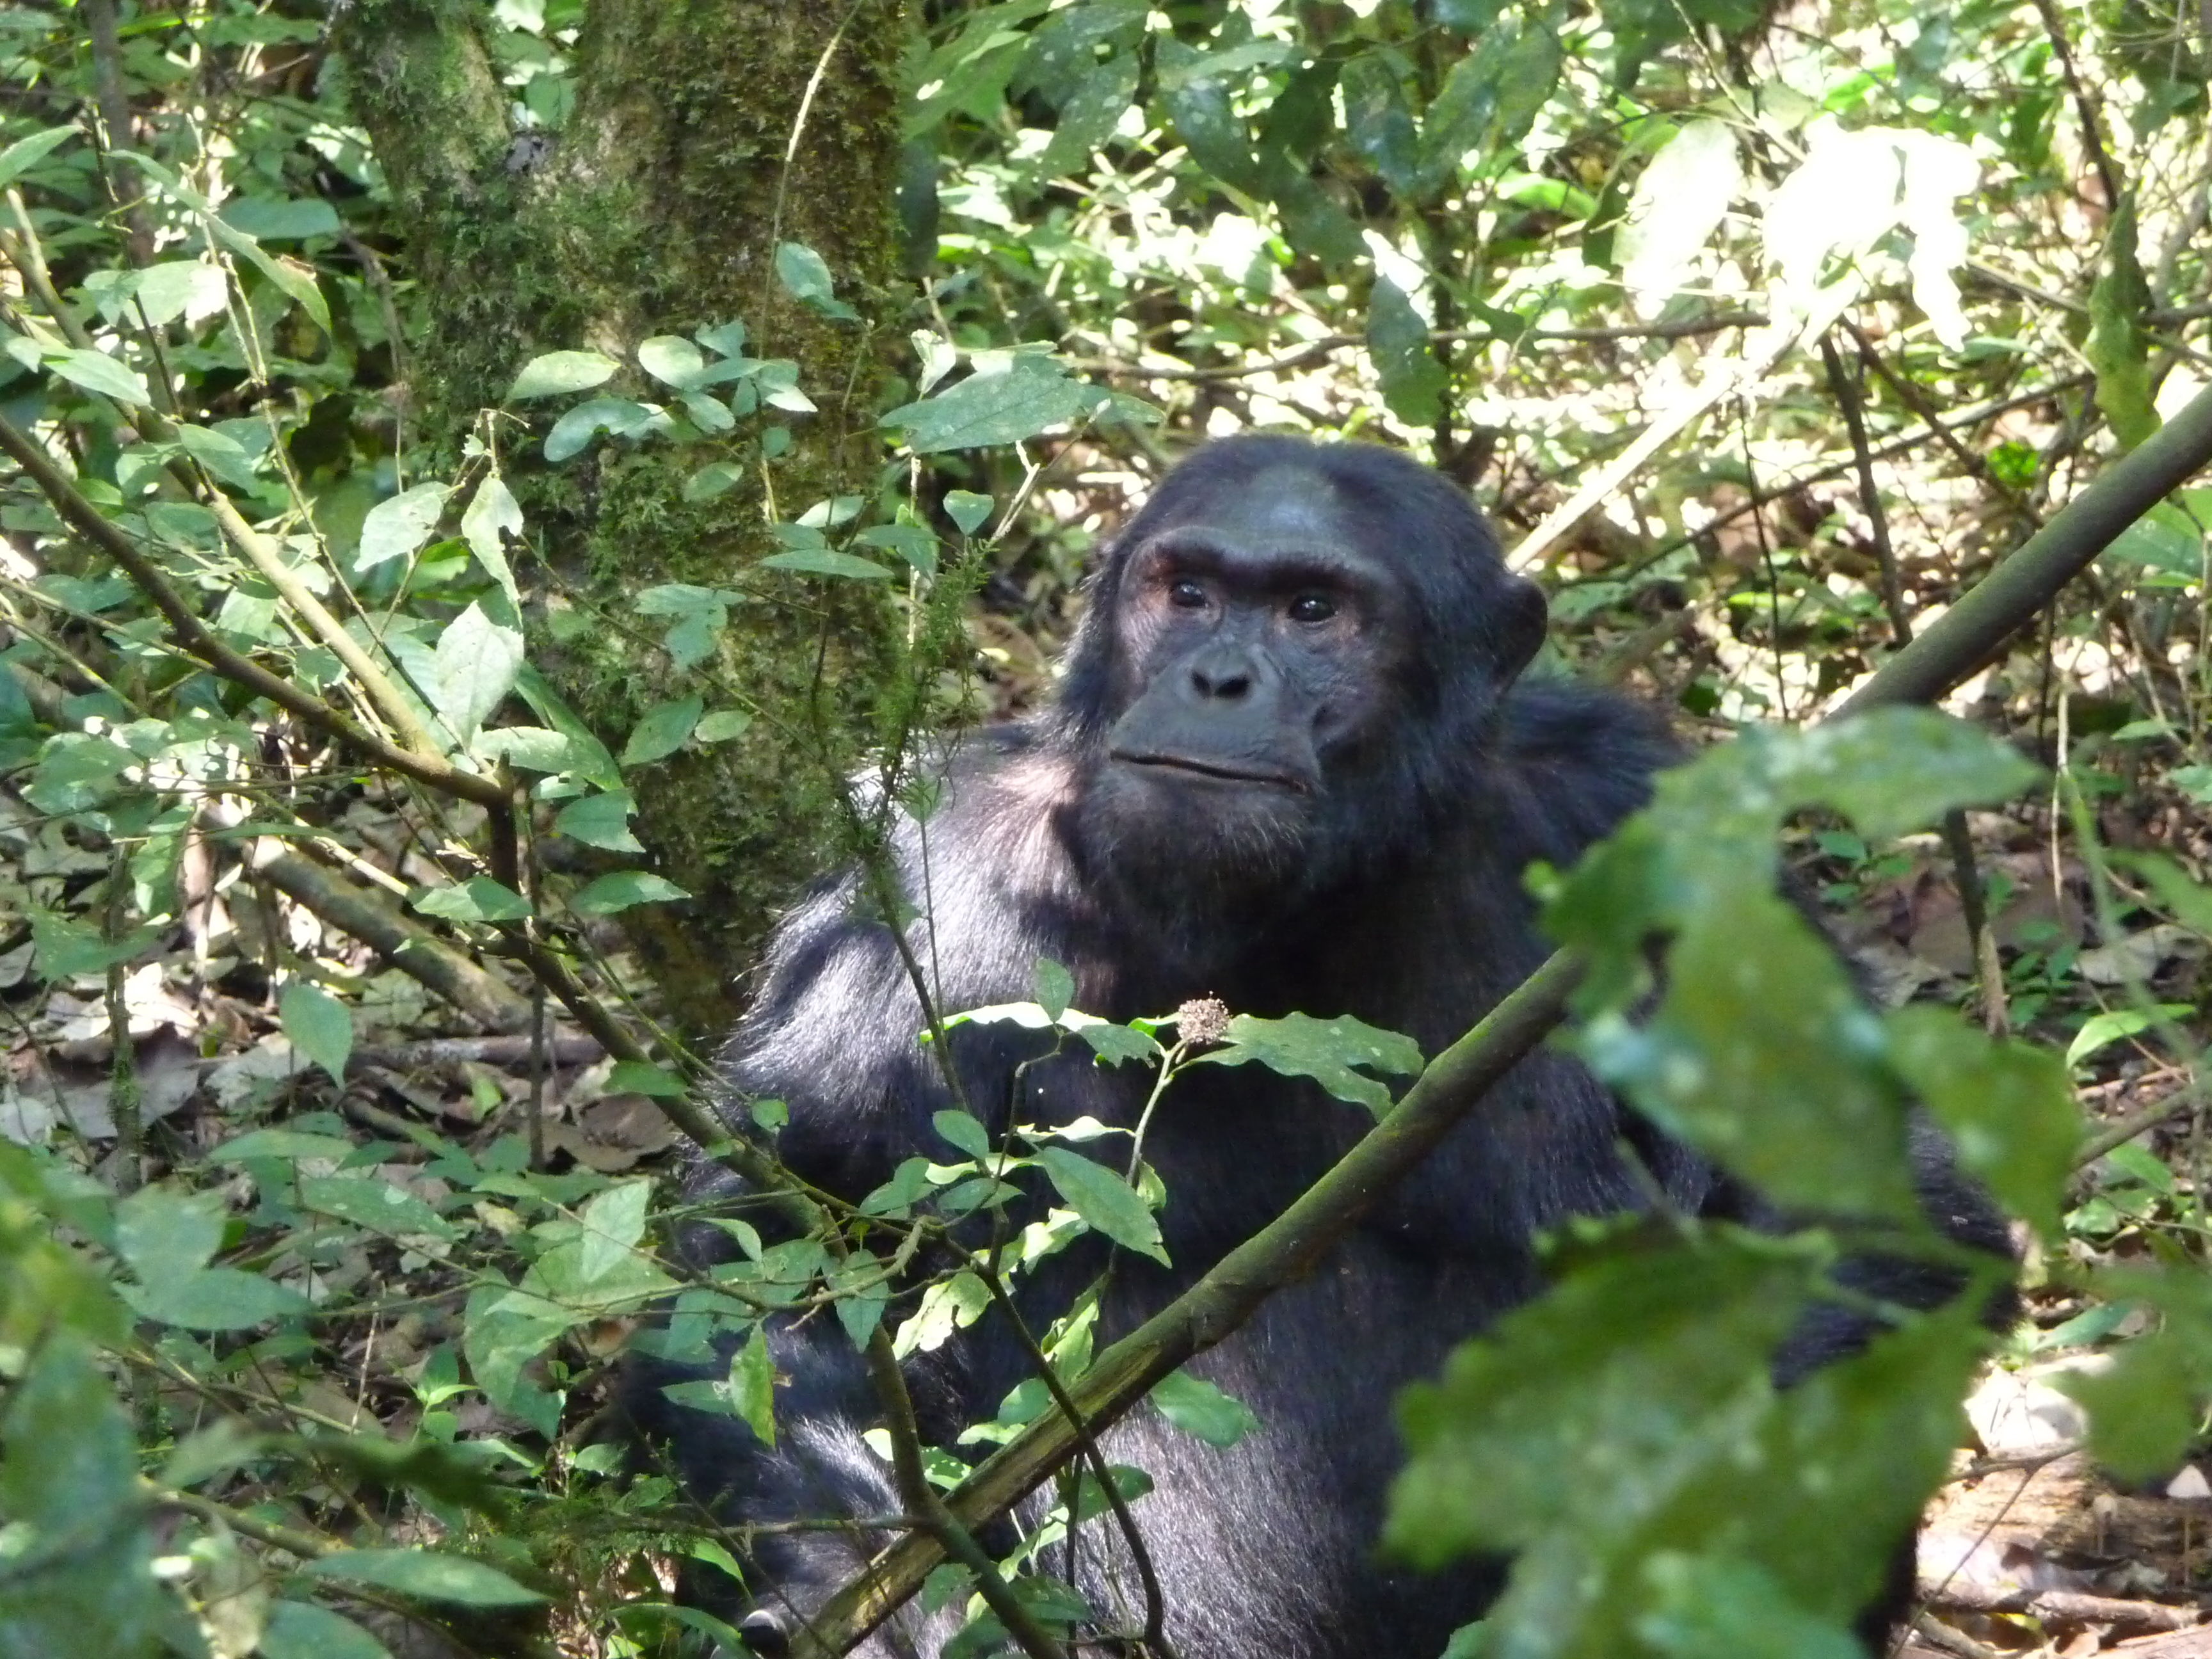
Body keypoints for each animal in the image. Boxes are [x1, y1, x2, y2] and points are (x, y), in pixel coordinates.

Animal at [628, 435, 2026, 1655]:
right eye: (1188, 591)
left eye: (1313, 609)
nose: (1216, 676)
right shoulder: (916, 888)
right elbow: (779, 1241)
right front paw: (874, 1601)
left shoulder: (1639, 816)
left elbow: (1873, 1198)